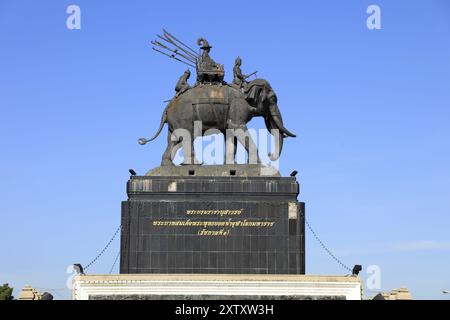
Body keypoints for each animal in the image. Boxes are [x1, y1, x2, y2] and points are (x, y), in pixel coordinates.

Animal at [139, 79, 298, 166]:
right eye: (273, 99)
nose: (270, 154)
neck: (247, 88)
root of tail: (168, 106)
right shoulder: (238, 106)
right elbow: (238, 128)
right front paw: (256, 164)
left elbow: (230, 132)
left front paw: (232, 165)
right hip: (184, 117)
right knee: (187, 136)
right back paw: (194, 164)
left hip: (175, 122)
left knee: (174, 140)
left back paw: (168, 164)